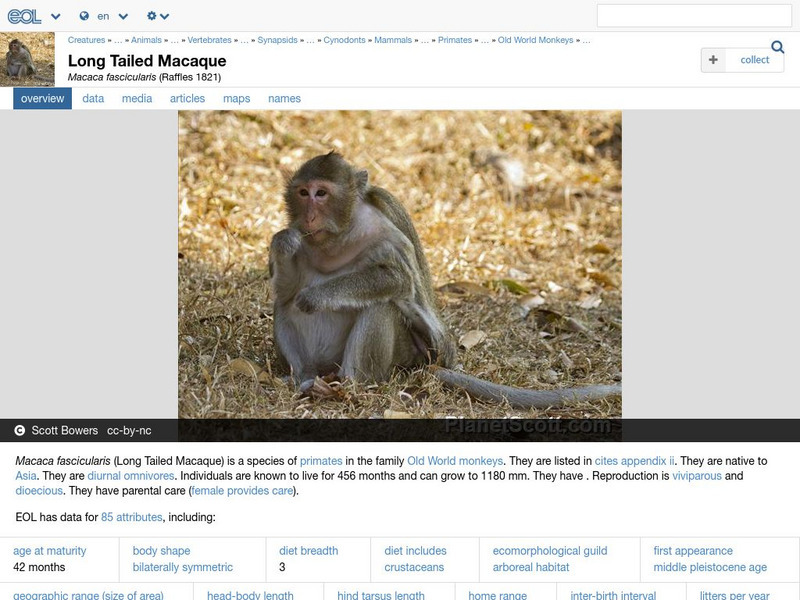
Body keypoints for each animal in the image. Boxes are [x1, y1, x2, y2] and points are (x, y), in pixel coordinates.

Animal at [269, 152, 620, 408]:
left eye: (321, 193)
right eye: (303, 193)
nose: (309, 217)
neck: (339, 237)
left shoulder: (383, 231)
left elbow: (398, 279)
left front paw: (317, 296)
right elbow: (286, 289)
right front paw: (282, 243)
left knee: (381, 307)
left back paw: (348, 387)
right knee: (283, 306)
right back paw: (303, 379)